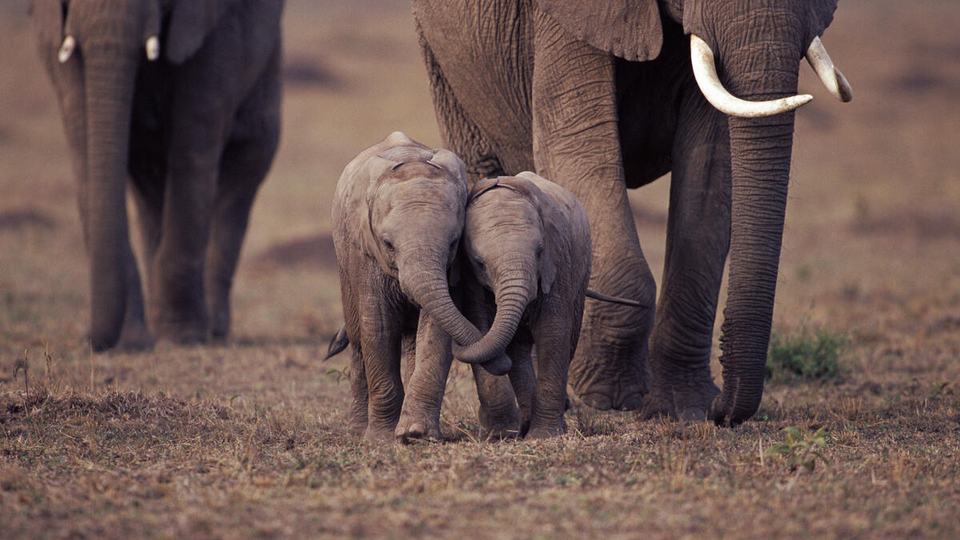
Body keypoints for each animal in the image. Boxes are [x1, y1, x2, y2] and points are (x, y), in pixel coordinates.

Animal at [30, 0, 284, 350]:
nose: (91, 341)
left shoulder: (213, 28)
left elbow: (194, 141)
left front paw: (181, 337)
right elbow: (83, 144)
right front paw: (132, 340)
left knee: (245, 168)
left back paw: (213, 329)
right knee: (148, 182)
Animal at [327, 132, 511, 441]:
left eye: (453, 242)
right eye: (388, 244)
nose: (504, 362)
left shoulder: (451, 268)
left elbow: (435, 330)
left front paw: (415, 434)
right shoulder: (366, 255)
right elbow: (379, 328)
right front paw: (381, 438)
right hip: (344, 262)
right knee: (357, 339)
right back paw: (357, 430)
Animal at [411, 0, 853, 425]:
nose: (723, 412)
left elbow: (712, 165)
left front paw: (685, 407)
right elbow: (581, 145)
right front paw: (609, 397)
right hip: (442, 61)